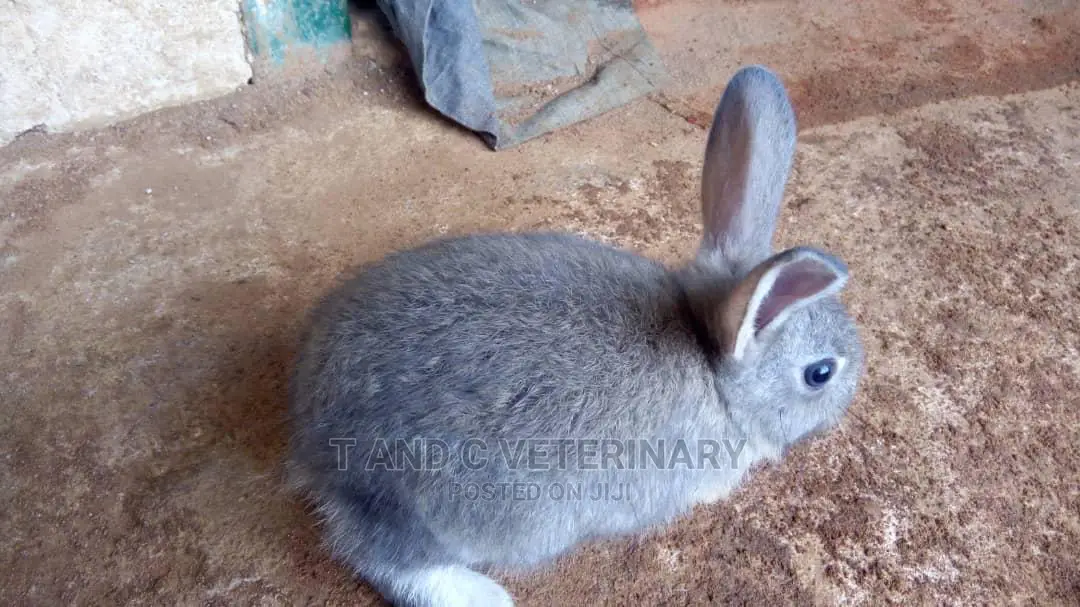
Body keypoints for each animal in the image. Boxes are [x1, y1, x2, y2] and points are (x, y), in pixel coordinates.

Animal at [285, 65, 864, 607]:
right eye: (820, 373)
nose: (852, 390)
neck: (711, 364)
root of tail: (314, 440)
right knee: (383, 558)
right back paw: (482, 594)